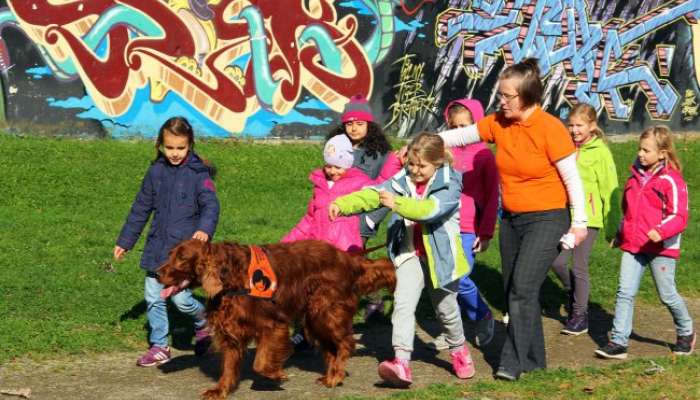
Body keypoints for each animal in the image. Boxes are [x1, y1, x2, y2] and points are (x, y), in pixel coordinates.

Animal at [159, 239, 396, 398]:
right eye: (170, 254)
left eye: (182, 258)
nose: (156, 273)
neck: (231, 278)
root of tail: (349, 259)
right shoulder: (231, 331)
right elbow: (227, 366)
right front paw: (220, 390)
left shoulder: (272, 324)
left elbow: (260, 363)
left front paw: (276, 375)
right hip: (314, 317)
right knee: (332, 348)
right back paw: (329, 376)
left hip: (325, 311)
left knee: (345, 343)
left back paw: (336, 376)